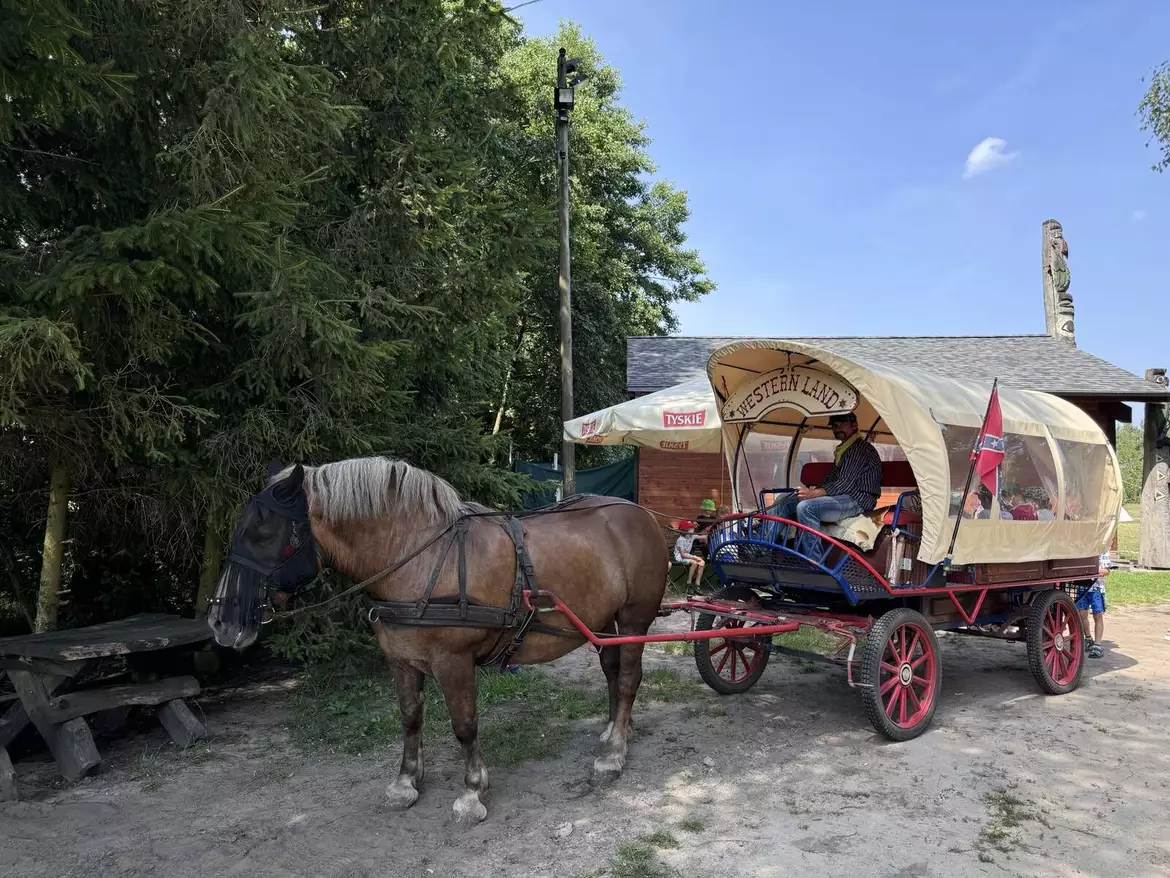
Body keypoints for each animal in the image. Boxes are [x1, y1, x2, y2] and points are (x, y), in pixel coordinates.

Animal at [205, 456, 673, 828]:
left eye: (263, 534)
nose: (220, 621)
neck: (421, 558)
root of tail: (641, 514)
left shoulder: (454, 662)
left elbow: (464, 726)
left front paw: (472, 792)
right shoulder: (400, 659)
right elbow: (411, 718)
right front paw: (406, 781)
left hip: (635, 617)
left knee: (628, 679)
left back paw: (613, 754)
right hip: (604, 623)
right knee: (613, 672)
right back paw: (615, 730)